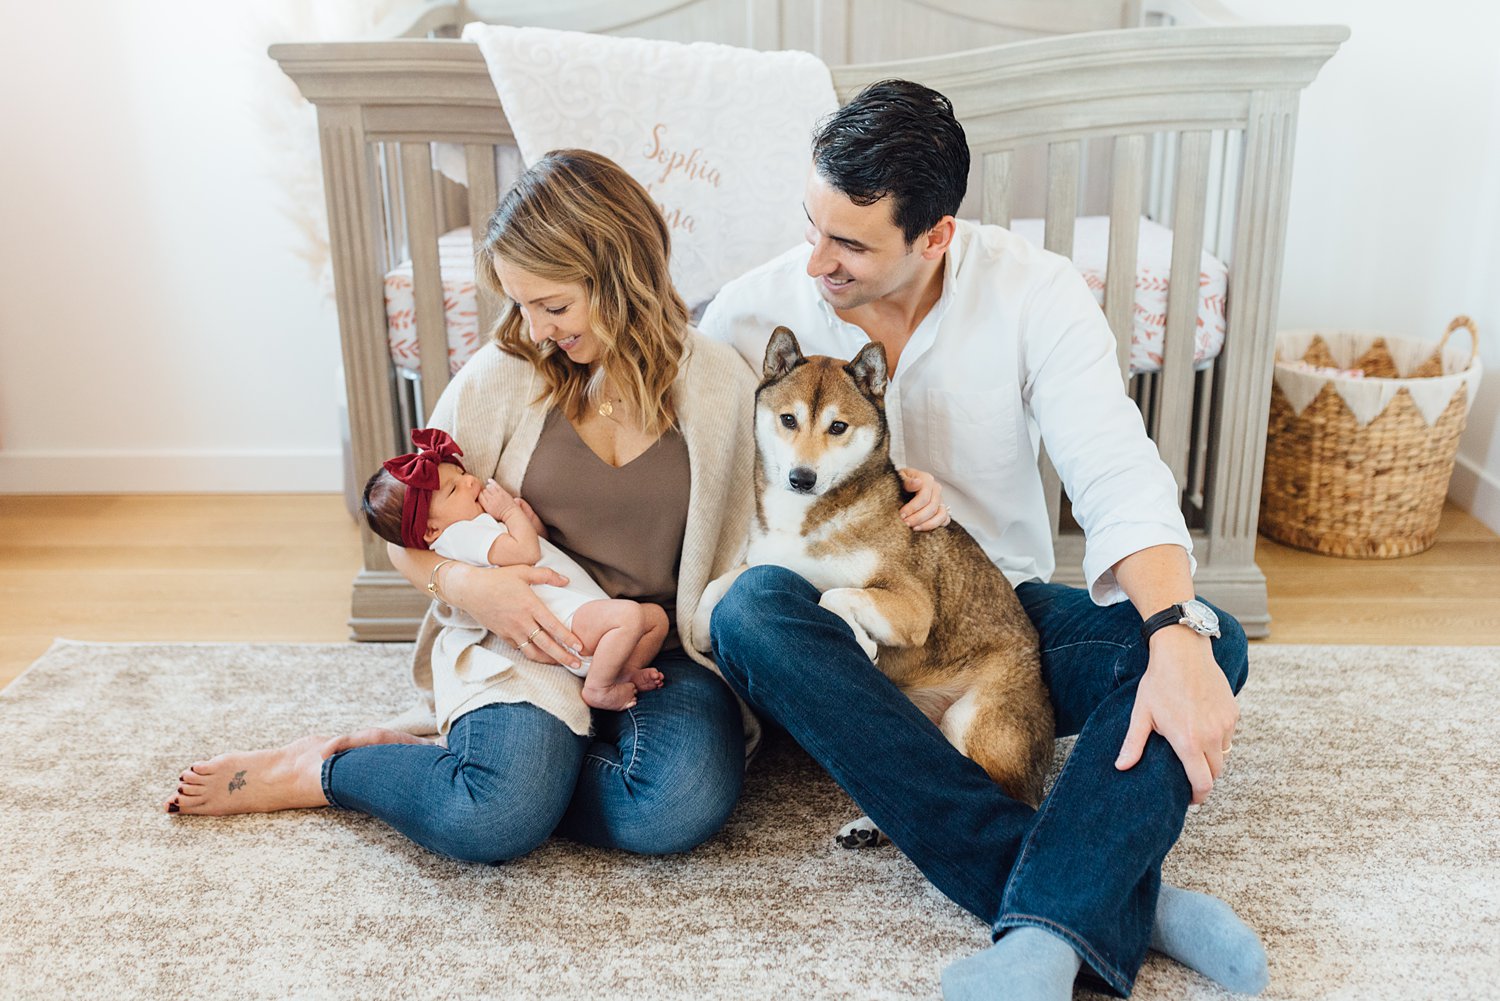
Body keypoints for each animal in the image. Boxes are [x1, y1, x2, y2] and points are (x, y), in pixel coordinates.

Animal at [693, 328, 1056, 846]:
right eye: (788, 419)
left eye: (838, 427)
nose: (801, 478)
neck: (810, 517)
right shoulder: (768, 557)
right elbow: (720, 584)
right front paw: (698, 628)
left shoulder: (912, 606)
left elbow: (833, 595)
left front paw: (863, 641)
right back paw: (870, 829)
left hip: (972, 718)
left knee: (996, 793)